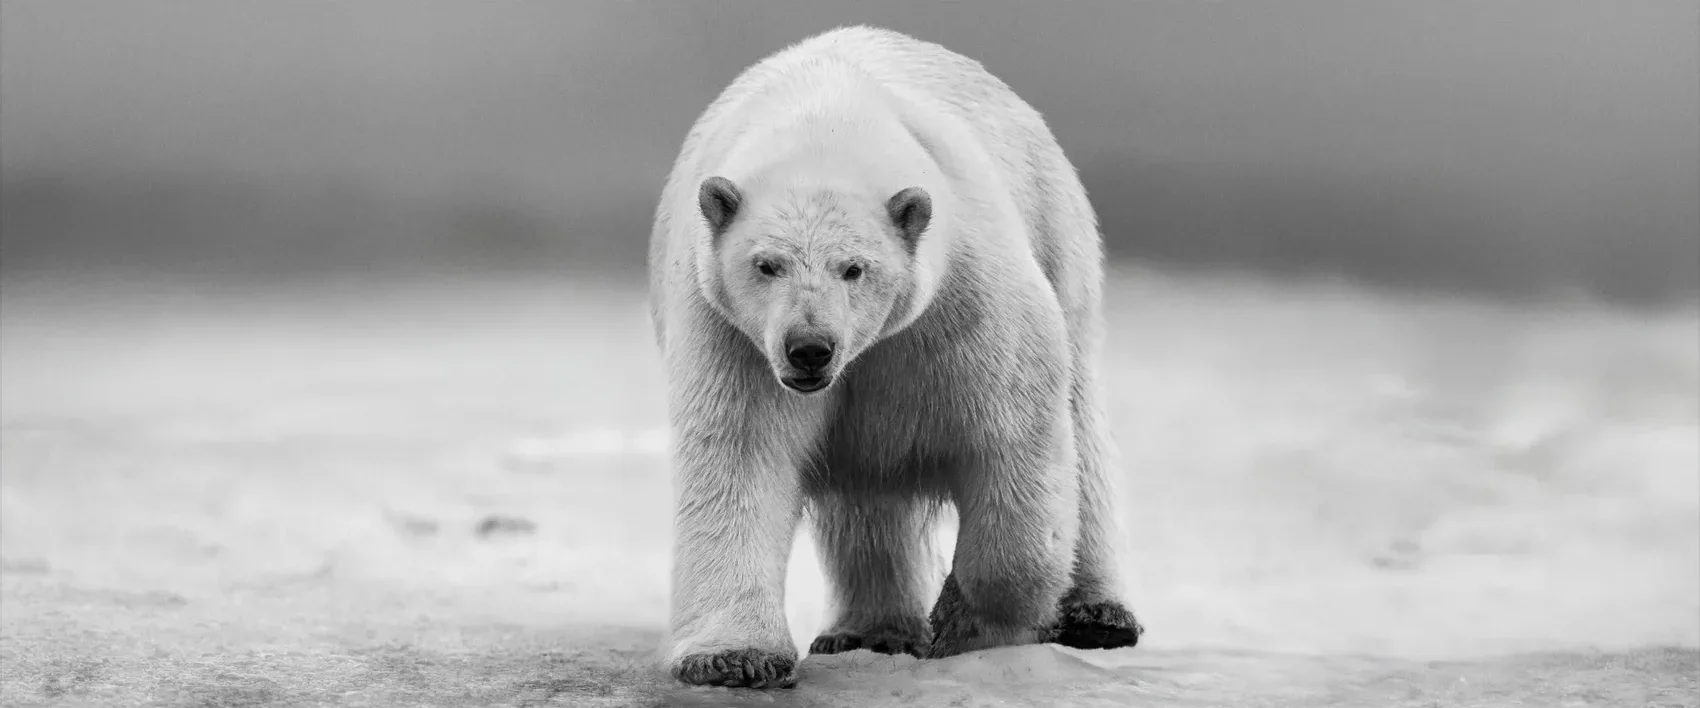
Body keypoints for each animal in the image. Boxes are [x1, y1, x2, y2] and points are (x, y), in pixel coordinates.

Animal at [646, 25, 1143, 689]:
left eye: (854, 268)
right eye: (766, 264)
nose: (810, 348)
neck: (826, 119)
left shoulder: (964, 294)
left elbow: (1014, 436)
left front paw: (961, 624)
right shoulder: (731, 332)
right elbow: (741, 456)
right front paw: (734, 658)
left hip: (1058, 229)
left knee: (1082, 422)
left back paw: (1098, 615)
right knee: (866, 497)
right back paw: (866, 631)